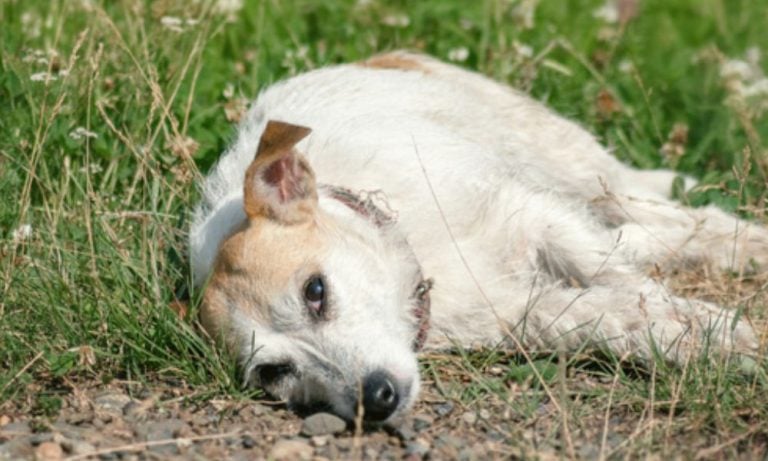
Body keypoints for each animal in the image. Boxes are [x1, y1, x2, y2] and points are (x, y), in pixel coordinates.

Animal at [189, 51, 764, 424]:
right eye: (273, 372)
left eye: (315, 291)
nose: (376, 400)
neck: (419, 262)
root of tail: (384, 56)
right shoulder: (523, 311)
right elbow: (608, 320)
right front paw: (691, 337)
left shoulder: (533, 216)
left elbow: (620, 279)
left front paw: (707, 324)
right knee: (637, 233)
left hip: (572, 165)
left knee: (662, 213)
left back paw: (743, 242)